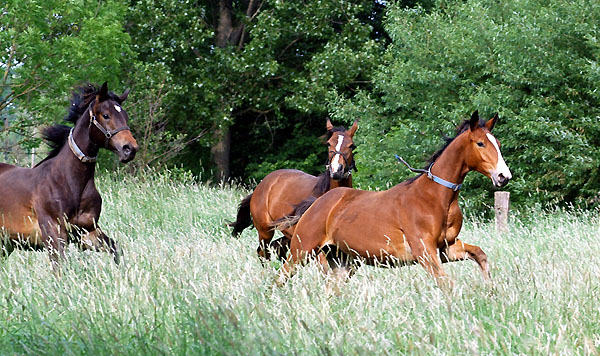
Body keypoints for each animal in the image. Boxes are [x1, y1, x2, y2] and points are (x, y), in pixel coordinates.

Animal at [0, 82, 138, 268]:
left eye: (125, 116)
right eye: (106, 115)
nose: (130, 149)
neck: (68, 181)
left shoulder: (86, 232)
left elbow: (115, 248)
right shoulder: (53, 234)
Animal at [230, 118, 358, 260]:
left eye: (351, 146)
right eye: (329, 144)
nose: (336, 170)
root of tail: (262, 185)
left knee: (277, 248)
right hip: (265, 232)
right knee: (263, 252)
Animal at [276, 111, 510, 286]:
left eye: (497, 143)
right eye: (480, 143)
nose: (503, 176)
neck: (436, 197)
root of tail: (318, 202)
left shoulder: (447, 248)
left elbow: (479, 254)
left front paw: (491, 290)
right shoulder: (424, 251)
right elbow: (447, 284)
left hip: (344, 261)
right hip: (301, 250)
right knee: (280, 278)